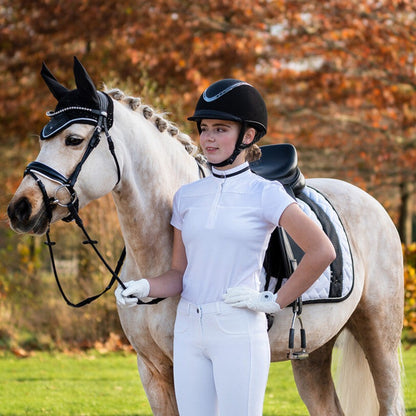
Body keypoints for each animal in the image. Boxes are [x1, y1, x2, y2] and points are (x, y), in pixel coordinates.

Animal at [5, 58, 404, 416]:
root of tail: (370, 201)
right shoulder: (153, 371)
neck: (157, 253)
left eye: (74, 139)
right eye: (42, 138)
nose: (20, 209)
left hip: (380, 339)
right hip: (312, 353)